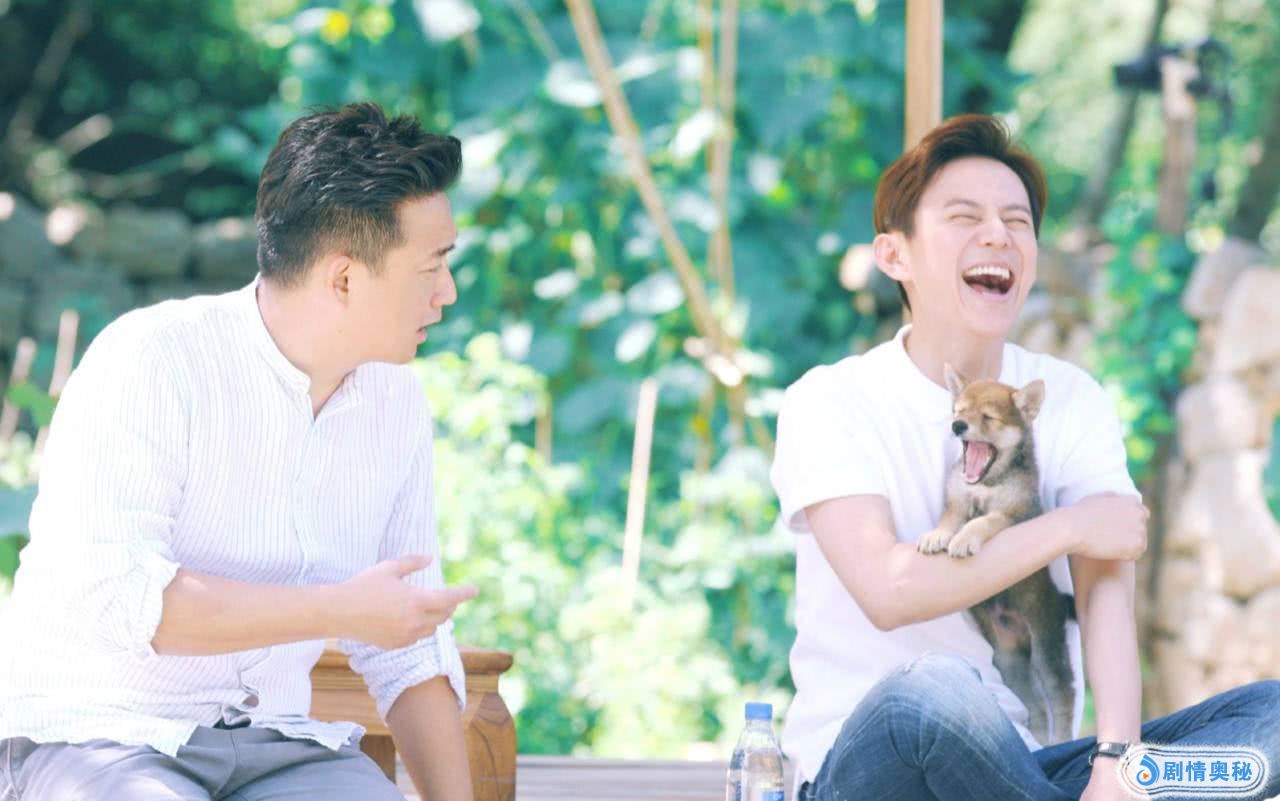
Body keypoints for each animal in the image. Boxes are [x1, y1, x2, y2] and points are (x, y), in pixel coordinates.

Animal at [916, 364, 1077, 746]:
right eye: (958, 410)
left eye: (987, 417)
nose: (958, 426)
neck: (987, 485)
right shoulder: (957, 499)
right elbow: (950, 518)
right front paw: (937, 535)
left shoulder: (1014, 515)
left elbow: (984, 521)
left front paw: (964, 540)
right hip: (1009, 661)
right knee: (1035, 705)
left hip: (1046, 647)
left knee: (1063, 695)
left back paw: (1060, 738)